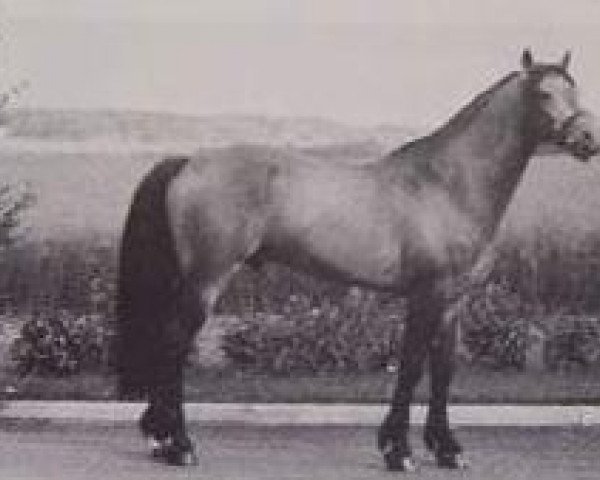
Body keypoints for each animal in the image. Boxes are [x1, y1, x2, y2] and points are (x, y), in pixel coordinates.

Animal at [115, 50, 596, 470]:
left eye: (574, 89)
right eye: (544, 94)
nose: (588, 139)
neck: (446, 186)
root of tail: (188, 162)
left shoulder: (454, 300)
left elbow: (444, 371)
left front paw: (447, 451)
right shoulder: (427, 294)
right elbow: (411, 366)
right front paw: (397, 451)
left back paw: (159, 438)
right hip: (207, 280)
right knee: (174, 344)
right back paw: (180, 446)